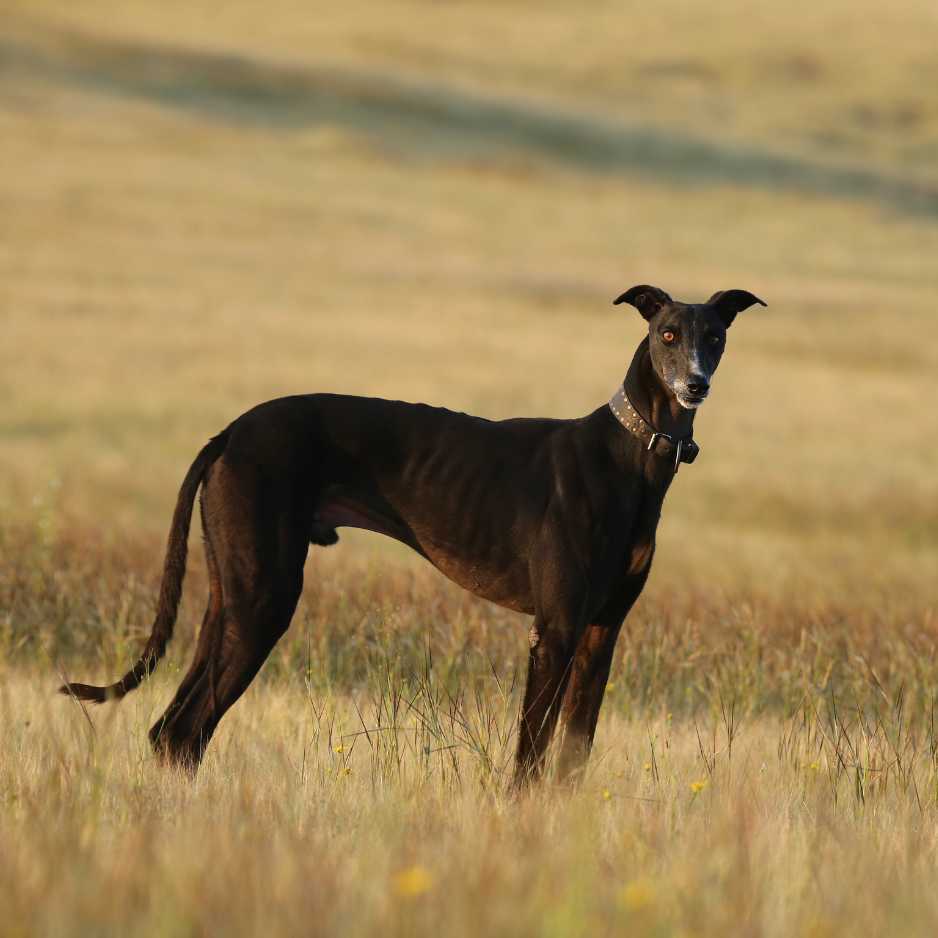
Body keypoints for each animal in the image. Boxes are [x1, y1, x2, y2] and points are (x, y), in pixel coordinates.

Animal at [62, 286, 760, 784]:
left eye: (715, 337)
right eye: (667, 334)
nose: (695, 384)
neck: (631, 455)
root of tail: (231, 431)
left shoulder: (600, 633)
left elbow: (571, 761)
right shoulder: (556, 630)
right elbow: (530, 759)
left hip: (228, 599)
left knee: (172, 734)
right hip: (262, 601)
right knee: (185, 732)